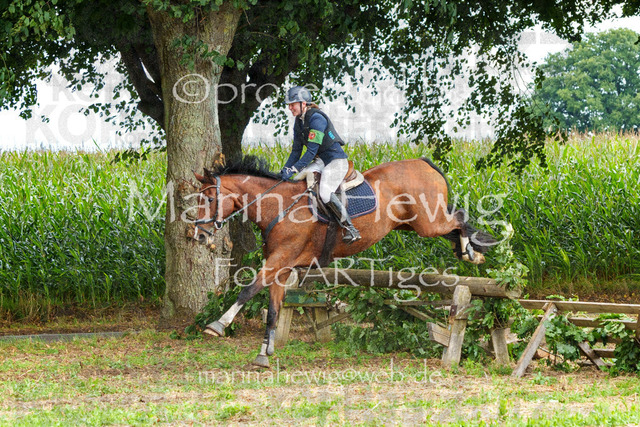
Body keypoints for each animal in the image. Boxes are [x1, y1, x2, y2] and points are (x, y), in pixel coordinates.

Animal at [192, 155, 496, 367]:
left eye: (209, 198)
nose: (198, 234)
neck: (277, 206)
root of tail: (422, 162)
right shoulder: (282, 267)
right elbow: (274, 310)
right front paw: (263, 354)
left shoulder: (279, 260)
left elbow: (248, 290)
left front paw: (217, 325)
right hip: (411, 223)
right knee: (454, 225)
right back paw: (471, 250)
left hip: (428, 222)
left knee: (458, 217)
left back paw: (472, 251)